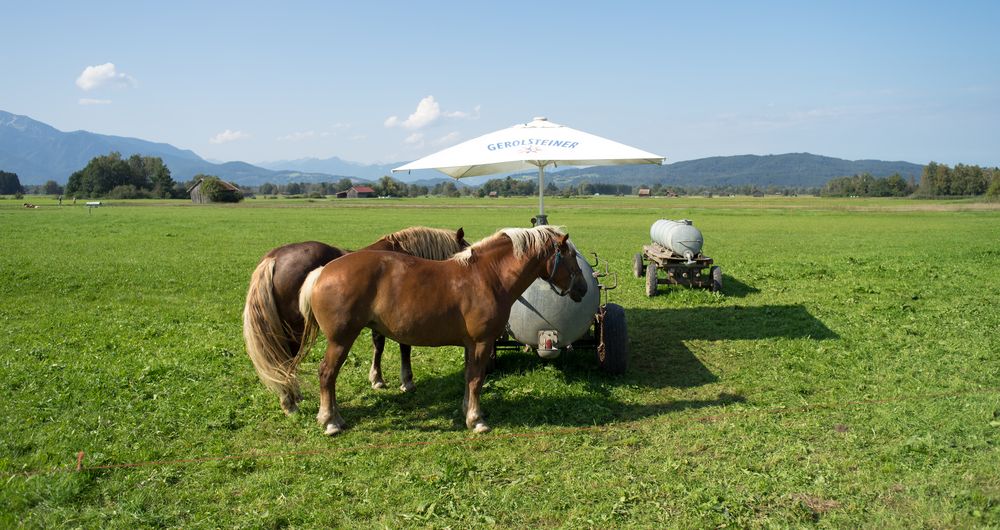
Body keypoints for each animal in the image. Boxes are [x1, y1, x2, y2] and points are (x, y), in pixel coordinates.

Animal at [240, 225, 466, 410]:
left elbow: (379, 345)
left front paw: (376, 379)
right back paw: (290, 402)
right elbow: (401, 347)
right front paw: (405, 381)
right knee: (285, 360)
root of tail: (274, 258)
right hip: (294, 329)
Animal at [294, 224, 584, 434]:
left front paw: (468, 410)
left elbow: (469, 377)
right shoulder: (482, 342)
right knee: (327, 374)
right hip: (341, 340)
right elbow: (477, 379)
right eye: (571, 258)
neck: (487, 277)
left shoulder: (471, 344)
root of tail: (322, 272)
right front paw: (476, 420)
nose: (583, 288)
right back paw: (330, 421)